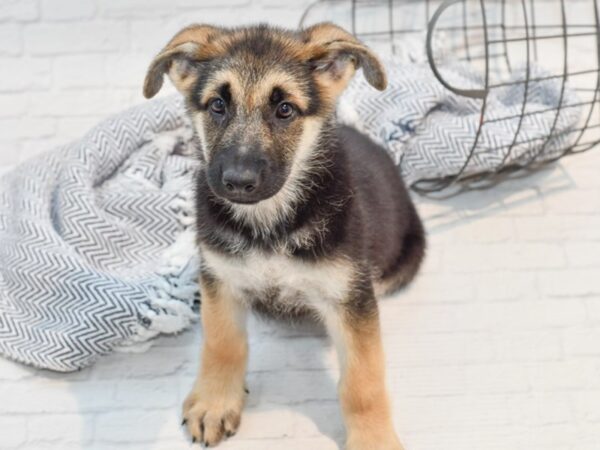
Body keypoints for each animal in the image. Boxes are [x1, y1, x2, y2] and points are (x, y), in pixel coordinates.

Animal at [144, 22, 426, 450]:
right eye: (217, 105)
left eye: (285, 109)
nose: (238, 182)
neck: (269, 224)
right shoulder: (220, 278)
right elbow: (222, 344)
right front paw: (215, 401)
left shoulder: (350, 297)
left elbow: (362, 381)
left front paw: (373, 439)